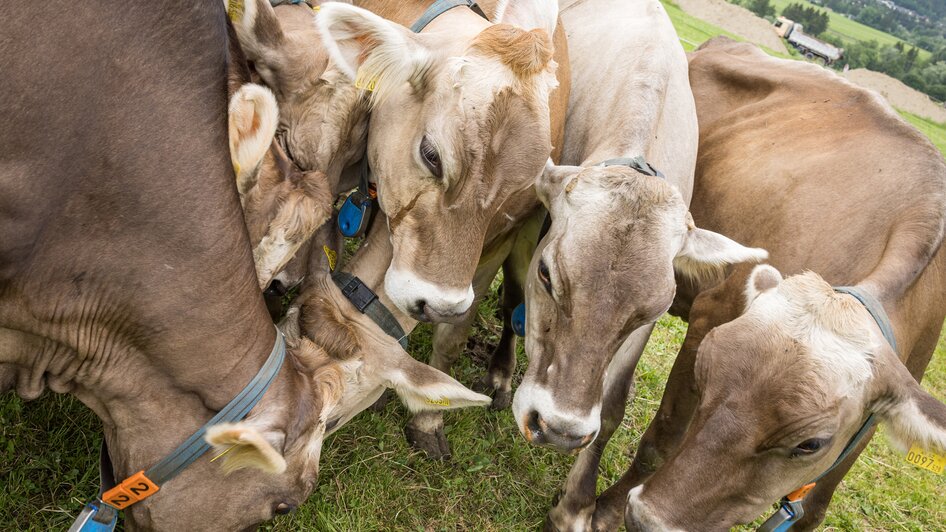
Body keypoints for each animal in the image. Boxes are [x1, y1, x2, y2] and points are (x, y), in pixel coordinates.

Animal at [620, 38, 944, 532]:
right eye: (705, 371)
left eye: (811, 443)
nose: (645, 519)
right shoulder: (714, 313)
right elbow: (662, 442)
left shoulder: (872, 418)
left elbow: (814, 508)